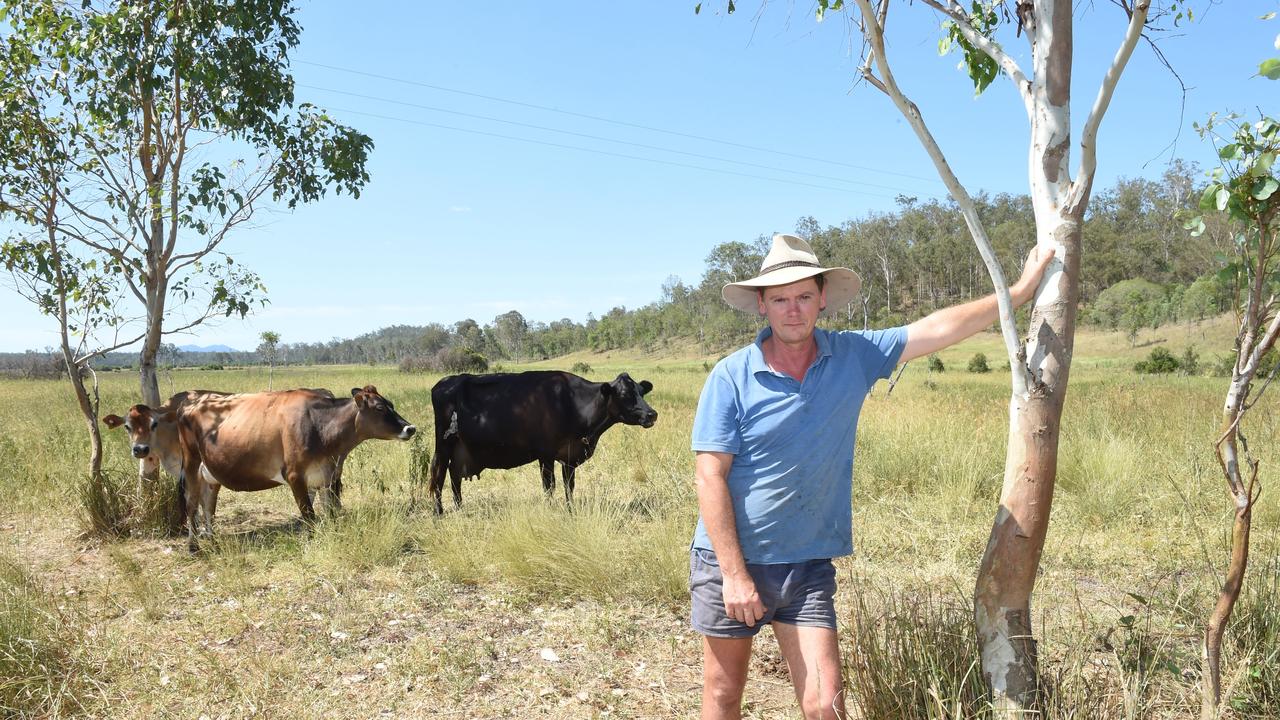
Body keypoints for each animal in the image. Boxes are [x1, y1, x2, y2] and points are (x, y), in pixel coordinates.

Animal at [175, 384, 412, 545]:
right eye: (380, 407)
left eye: (391, 404)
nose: (410, 428)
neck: (321, 427)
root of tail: (193, 402)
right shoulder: (295, 476)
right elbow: (309, 514)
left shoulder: (327, 477)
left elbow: (329, 512)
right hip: (191, 464)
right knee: (191, 503)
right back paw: (193, 547)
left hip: (211, 473)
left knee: (208, 505)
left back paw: (211, 539)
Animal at [430, 368, 660, 509]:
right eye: (624, 394)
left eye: (641, 392)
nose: (652, 414)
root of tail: (443, 382)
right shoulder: (546, 454)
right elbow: (550, 486)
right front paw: (551, 509)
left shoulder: (569, 455)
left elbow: (569, 486)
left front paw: (570, 510)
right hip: (443, 445)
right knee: (439, 476)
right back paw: (439, 513)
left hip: (459, 449)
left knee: (454, 477)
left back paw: (459, 508)